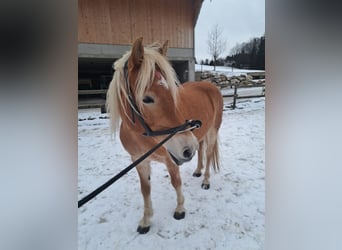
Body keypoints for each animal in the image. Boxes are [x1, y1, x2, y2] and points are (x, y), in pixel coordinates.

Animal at [107, 37, 224, 234]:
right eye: (147, 99)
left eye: (173, 91)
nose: (187, 148)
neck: (142, 135)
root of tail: (209, 85)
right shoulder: (139, 160)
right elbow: (145, 189)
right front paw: (146, 220)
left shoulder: (172, 159)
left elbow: (176, 183)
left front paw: (180, 209)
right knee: (201, 150)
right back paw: (198, 171)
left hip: (212, 131)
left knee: (207, 155)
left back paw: (206, 180)